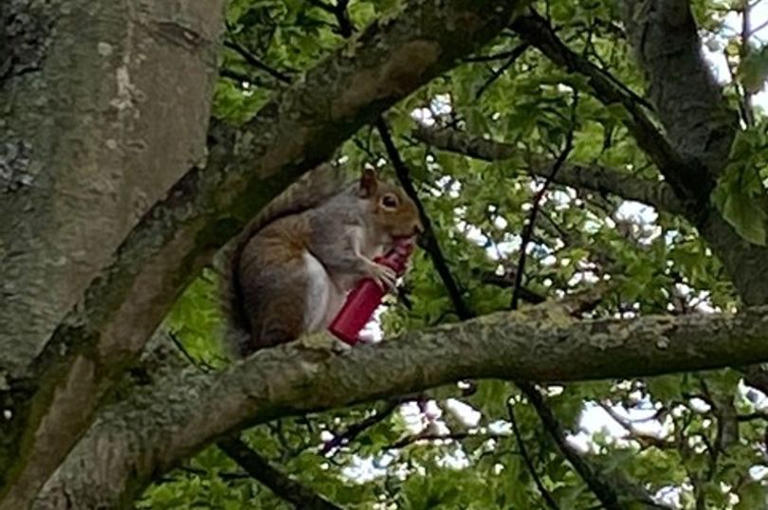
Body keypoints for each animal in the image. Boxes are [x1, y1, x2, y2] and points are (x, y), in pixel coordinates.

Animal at [221, 163, 423, 357]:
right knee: (283, 338)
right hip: (296, 282)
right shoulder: (329, 230)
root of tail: (255, 337)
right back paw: (314, 341)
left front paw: (402, 266)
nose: (418, 229)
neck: (370, 235)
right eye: (389, 202)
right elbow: (338, 256)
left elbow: (348, 279)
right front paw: (376, 270)